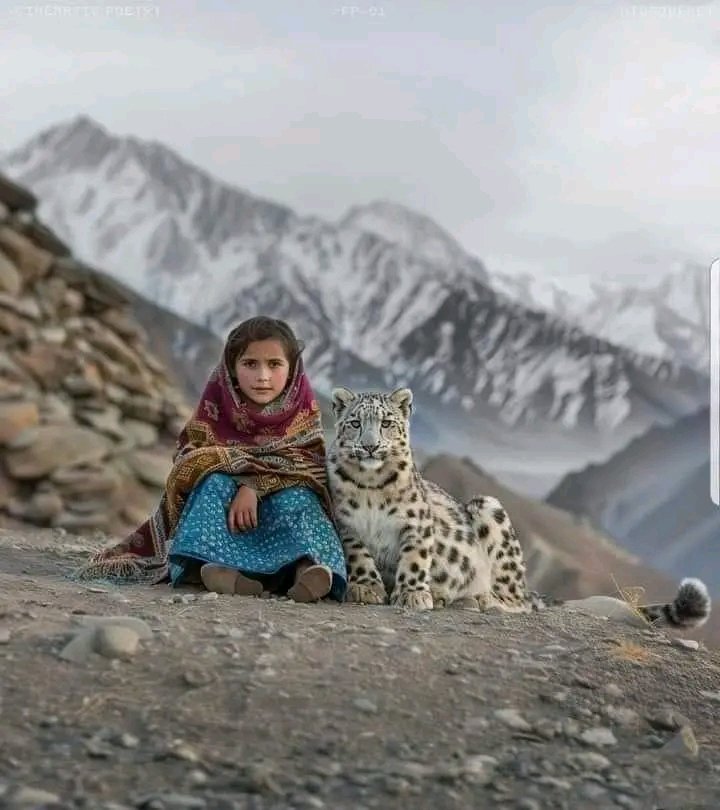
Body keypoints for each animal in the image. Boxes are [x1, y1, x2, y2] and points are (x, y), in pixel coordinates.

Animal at [326, 386, 712, 629]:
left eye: (386, 423)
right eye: (356, 423)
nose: (370, 446)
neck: (372, 487)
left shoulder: (416, 524)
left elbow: (415, 558)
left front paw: (412, 594)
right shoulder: (346, 525)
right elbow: (359, 554)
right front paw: (367, 587)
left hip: (490, 511)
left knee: (517, 600)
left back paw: (477, 598)